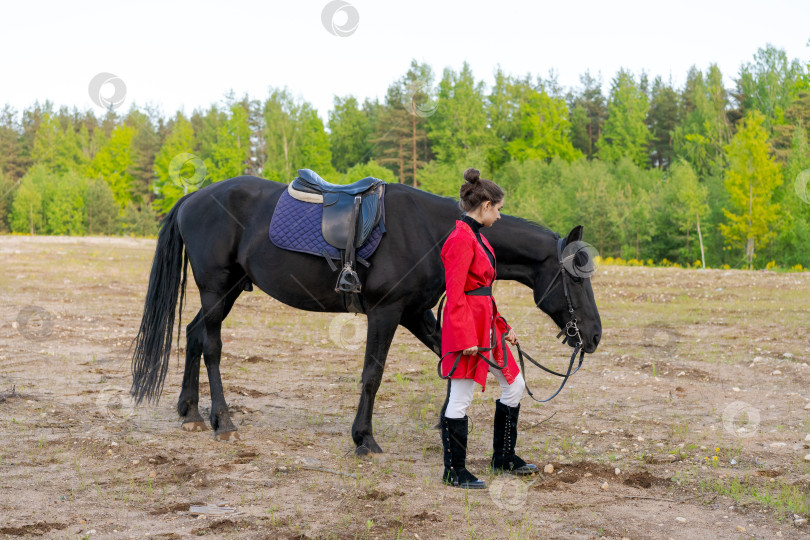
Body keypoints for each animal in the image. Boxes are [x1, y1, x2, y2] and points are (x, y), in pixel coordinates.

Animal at [131, 176, 600, 452]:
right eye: (577, 278)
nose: (594, 336)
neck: (435, 231)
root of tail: (194, 197)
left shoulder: (416, 313)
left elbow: (447, 360)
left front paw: (445, 422)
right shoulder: (386, 313)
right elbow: (372, 374)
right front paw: (364, 438)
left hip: (226, 292)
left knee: (193, 334)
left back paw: (191, 412)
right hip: (216, 288)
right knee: (211, 345)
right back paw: (223, 420)